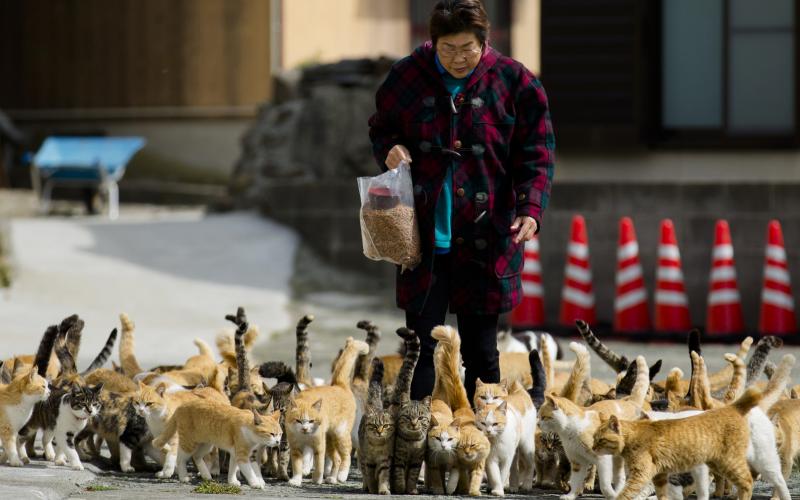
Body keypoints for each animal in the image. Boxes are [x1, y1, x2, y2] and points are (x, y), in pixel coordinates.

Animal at [153, 398, 282, 488]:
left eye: (280, 434)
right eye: (271, 434)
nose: (278, 442)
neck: (248, 429)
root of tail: (181, 406)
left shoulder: (236, 453)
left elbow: (233, 468)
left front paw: (232, 481)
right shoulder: (242, 455)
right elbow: (249, 471)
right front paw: (255, 483)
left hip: (206, 444)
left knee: (196, 456)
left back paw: (206, 475)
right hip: (189, 443)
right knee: (180, 459)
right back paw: (184, 477)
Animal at [284, 336, 368, 484]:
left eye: (311, 421)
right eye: (298, 420)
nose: (305, 428)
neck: (305, 436)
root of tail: (339, 385)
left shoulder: (319, 447)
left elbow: (319, 465)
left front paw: (317, 479)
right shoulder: (295, 448)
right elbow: (297, 465)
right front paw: (296, 480)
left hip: (341, 433)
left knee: (346, 455)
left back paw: (342, 476)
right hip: (331, 439)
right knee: (337, 459)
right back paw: (332, 478)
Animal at [356, 358, 394, 494]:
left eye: (386, 426)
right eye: (373, 425)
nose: (379, 431)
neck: (377, 445)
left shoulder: (385, 460)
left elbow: (383, 476)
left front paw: (383, 489)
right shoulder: (369, 461)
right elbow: (370, 476)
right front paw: (372, 489)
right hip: (361, 455)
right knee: (363, 472)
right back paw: (365, 486)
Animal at [390, 328, 432, 496]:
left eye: (420, 418)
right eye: (408, 417)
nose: (414, 424)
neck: (412, 442)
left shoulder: (416, 461)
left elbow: (413, 476)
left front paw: (412, 490)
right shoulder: (398, 458)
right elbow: (399, 474)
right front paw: (400, 489)